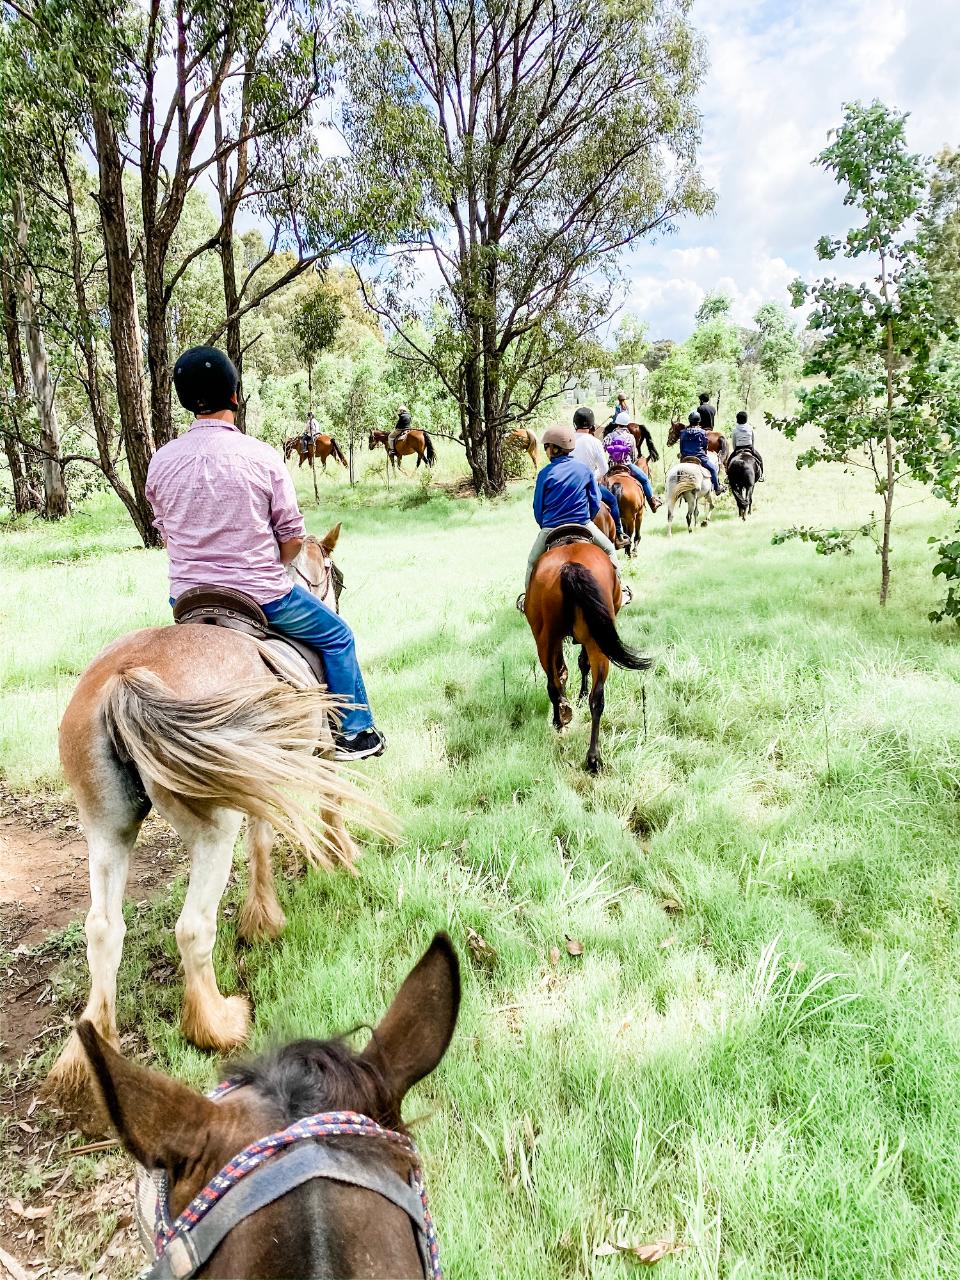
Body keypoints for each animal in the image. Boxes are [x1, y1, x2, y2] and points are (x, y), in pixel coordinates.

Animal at [45, 528, 368, 1112]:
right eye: (338, 575)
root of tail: (126, 679)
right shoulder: (321, 756)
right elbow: (330, 806)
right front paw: (340, 858)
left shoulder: (259, 784)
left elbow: (262, 844)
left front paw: (263, 918)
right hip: (213, 829)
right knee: (194, 927)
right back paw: (218, 1023)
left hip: (106, 826)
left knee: (103, 928)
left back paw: (91, 1053)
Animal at [524, 541, 651, 772]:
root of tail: (570, 567)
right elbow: (580, 665)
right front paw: (580, 695)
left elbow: (567, 670)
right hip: (592, 642)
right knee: (595, 696)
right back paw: (593, 757)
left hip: (547, 640)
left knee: (556, 685)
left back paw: (564, 722)